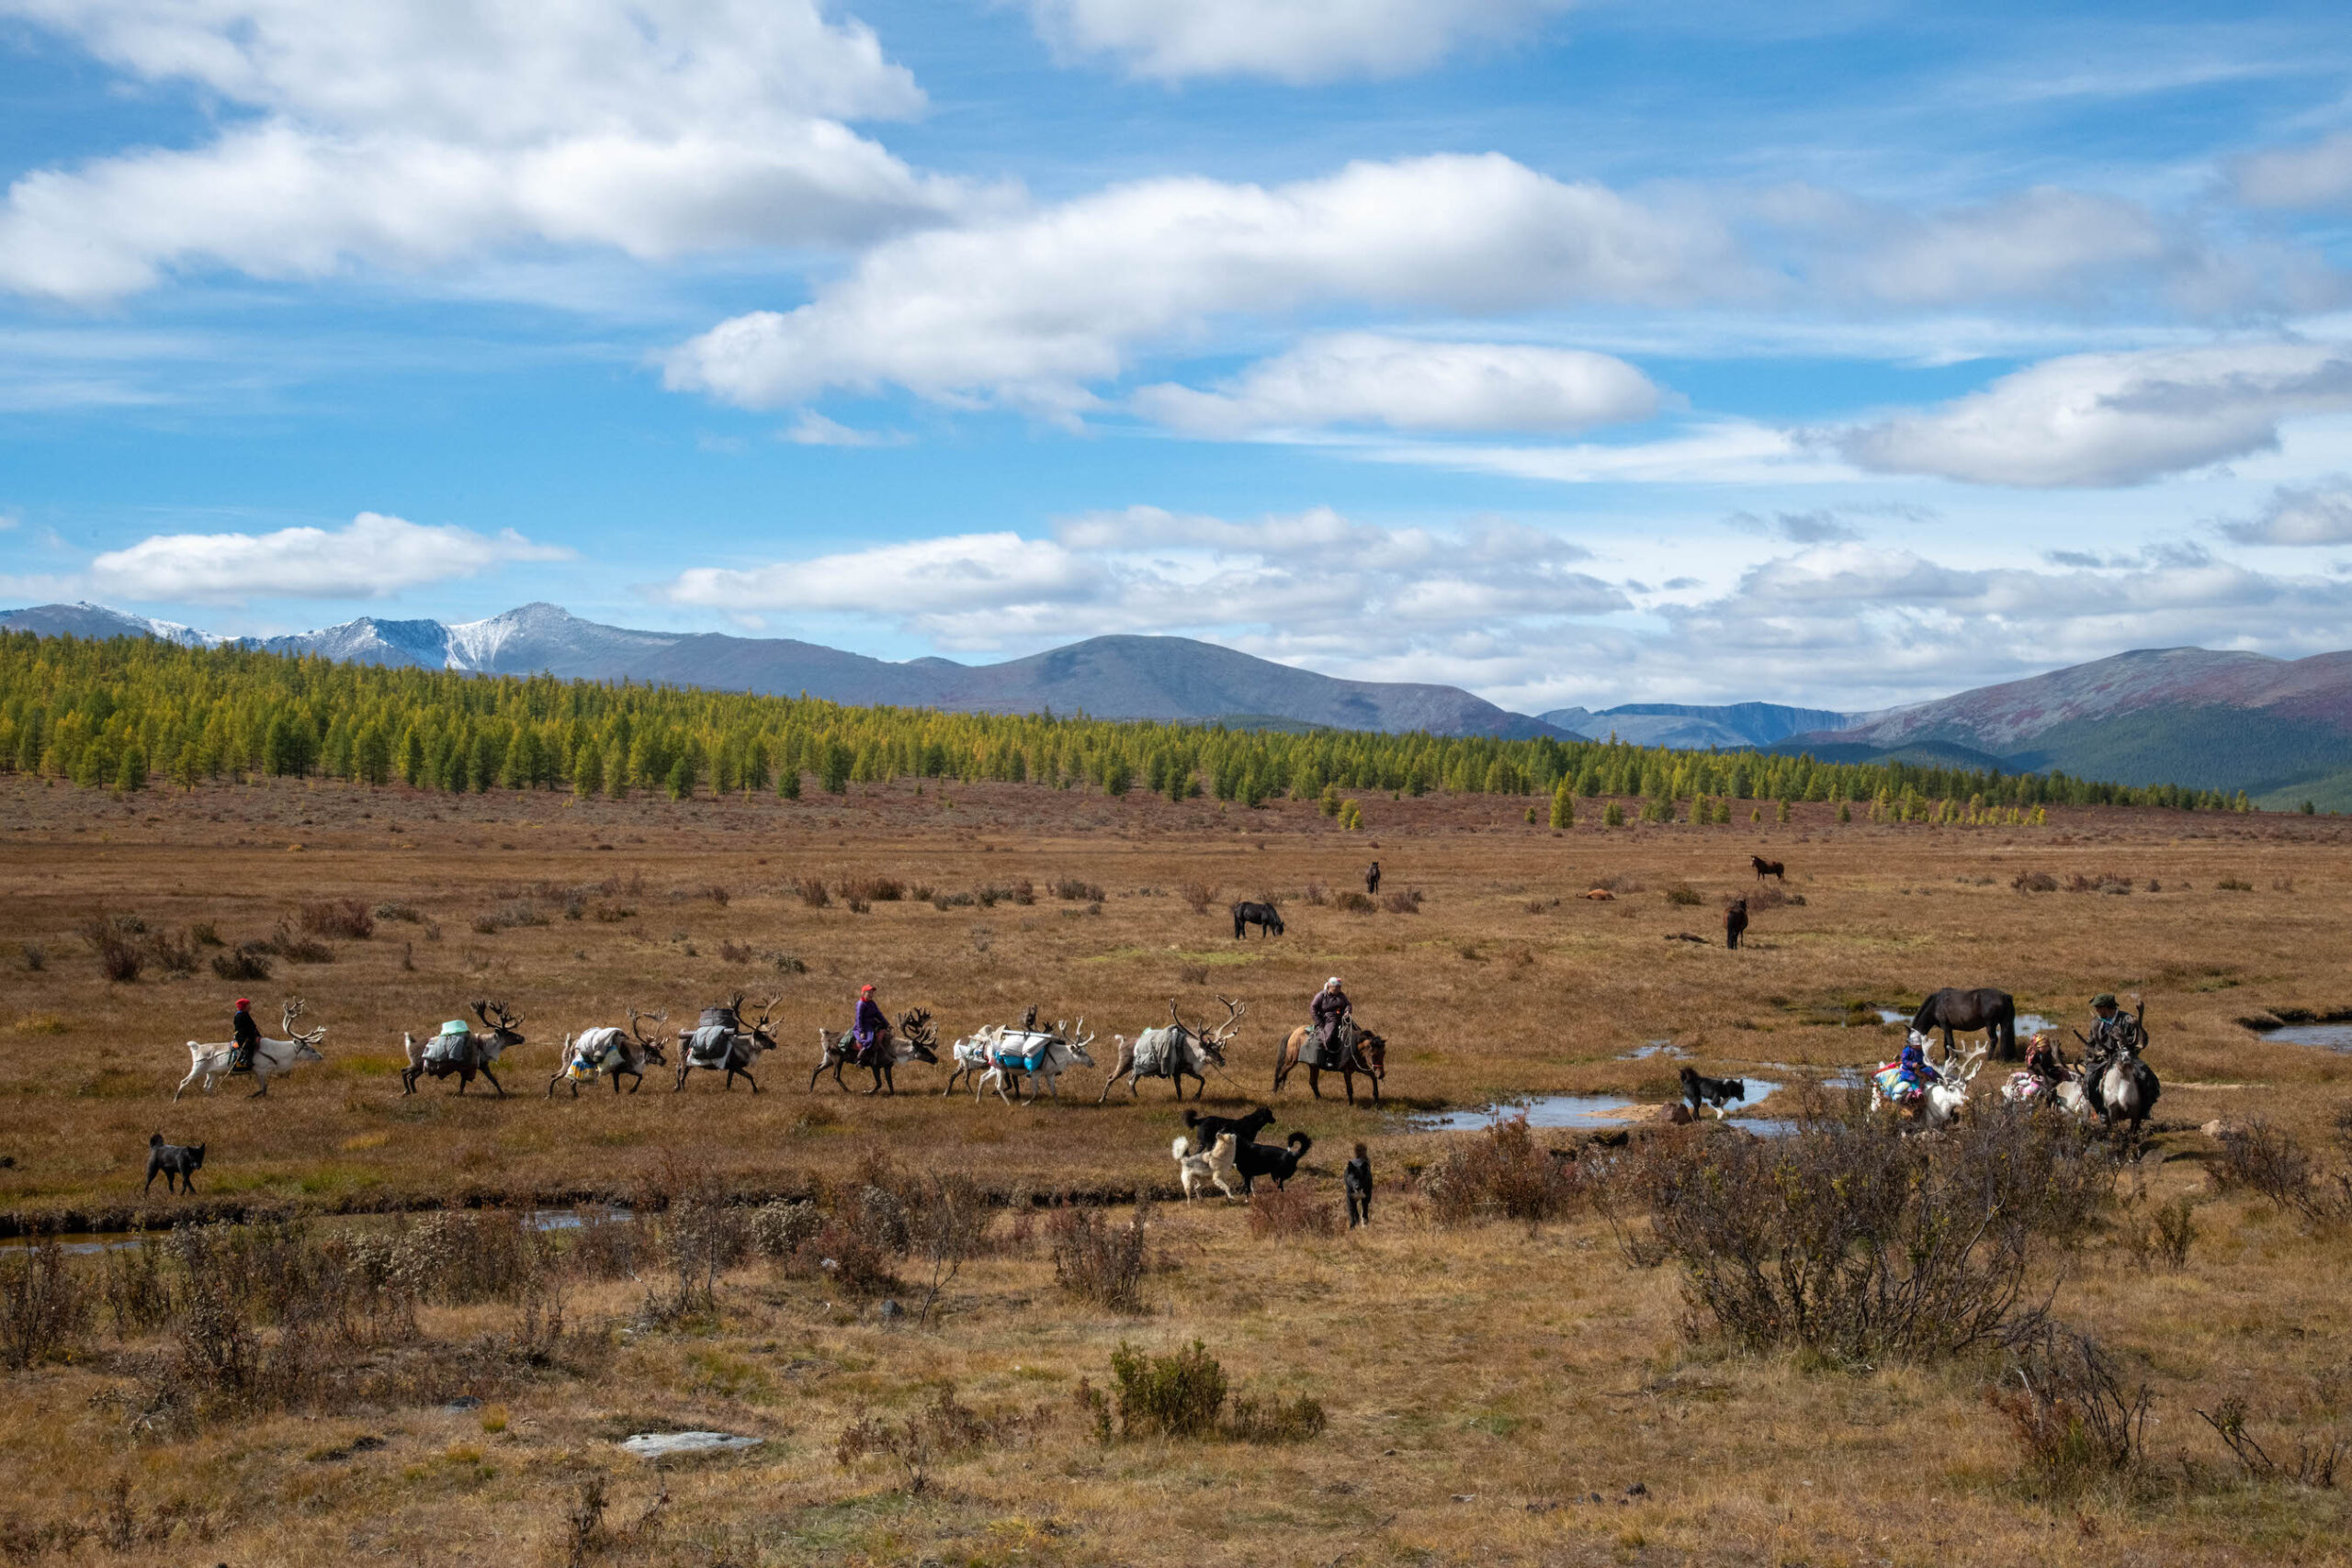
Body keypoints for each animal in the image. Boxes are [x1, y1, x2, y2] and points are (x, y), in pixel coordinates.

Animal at [176, 1001, 326, 1100]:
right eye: (307, 1047)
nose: (321, 1056)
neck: (279, 1053)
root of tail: (196, 1047)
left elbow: (264, 1088)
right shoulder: (260, 1070)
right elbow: (264, 1089)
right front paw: (252, 1096)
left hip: (213, 1073)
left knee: (207, 1087)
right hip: (198, 1068)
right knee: (184, 1082)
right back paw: (176, 1099)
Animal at [404, 1001, 524, 1100]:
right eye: (508, 1033)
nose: (522, 1038)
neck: (484, 1046)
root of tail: (411, 1044)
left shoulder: (481, 1065)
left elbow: (492, 1080)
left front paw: (502, 1093)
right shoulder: (469, 1066)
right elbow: (465, 1083)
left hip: (421, 1068)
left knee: (411, 1076)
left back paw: (414, 1092)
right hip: (417, 1064)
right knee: (405, 1072)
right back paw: (406, 1091)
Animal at [545, 1010, 668, 1100]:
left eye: (659, 1051)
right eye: (651, 1051)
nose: (664, 1060)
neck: (633, 1055)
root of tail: (571, 1044)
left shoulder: (628, 1069)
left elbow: (640, 1076)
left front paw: (632, 1090)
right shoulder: (616, 1071)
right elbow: (616, 1087)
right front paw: (622, 1094)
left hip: (568, 1063)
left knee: (561, 1078)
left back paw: (570, 1096)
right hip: (574, 1063)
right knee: (563, 1080)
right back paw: (551, 1095)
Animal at [813, 1010, 941, 1100]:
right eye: (922, 1049)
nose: (935, 1059)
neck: (892, 1049)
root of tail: (824, 1034)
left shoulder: (888, 1066)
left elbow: (890, 1083)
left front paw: (892, 1094)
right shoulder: (874, 1065)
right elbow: (879, 1084)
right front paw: (867, 1092)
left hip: (828, 1059)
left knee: (816, 1069)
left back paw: (811, 1090)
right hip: (837, 1058)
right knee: (836, 1075)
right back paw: (848, 1091)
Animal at [1101, 1001, 1250, 1100]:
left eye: (1218, 1049)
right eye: (1209, 1050)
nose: (1222, 1061)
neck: (1192, 1054)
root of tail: (1122, 1040)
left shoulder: (1189, 1070)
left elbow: (1203, 1080)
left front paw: (1196, 1096)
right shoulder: (1177, 1071)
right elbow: (1179, 1090)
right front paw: (1181, 1101)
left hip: (1136, 1068)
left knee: (1131, 1081)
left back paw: (1136, 1097)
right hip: (1125, 1062)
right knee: (1111, 1077)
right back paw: (1102, 1099)